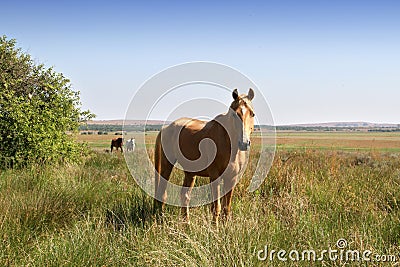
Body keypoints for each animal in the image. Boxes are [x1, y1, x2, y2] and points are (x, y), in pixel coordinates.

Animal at [153, 88, 256, 226]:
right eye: (235, 114)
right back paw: (161, 221)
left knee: (184, 195)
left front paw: (226, 227)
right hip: (167, 165)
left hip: (190, 173)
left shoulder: (232, 178)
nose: (244, 143)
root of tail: (165, 128)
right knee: (162, 193)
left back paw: (187, 224)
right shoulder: (215, 176)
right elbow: (216, 207)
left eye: (252, 114)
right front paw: (215, 228)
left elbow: (226, 207)